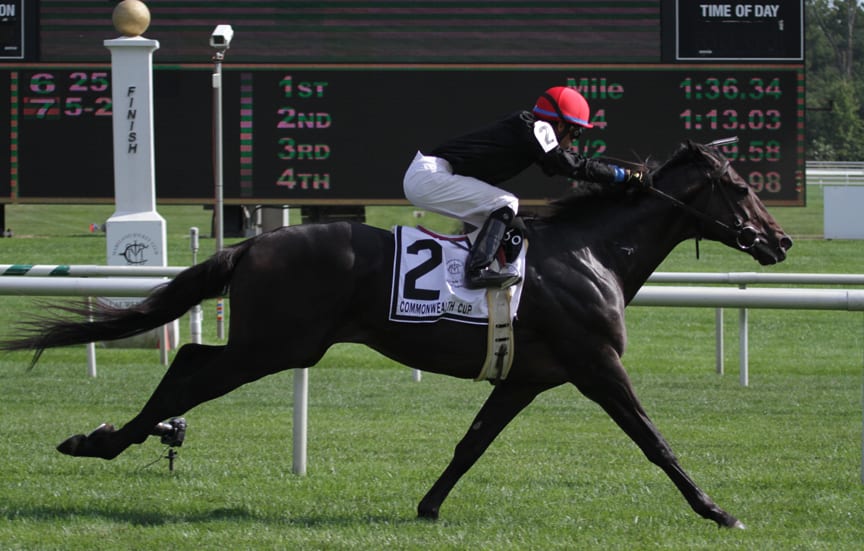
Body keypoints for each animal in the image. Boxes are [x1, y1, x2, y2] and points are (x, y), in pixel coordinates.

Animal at [3, 142, 792, 532]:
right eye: (740, 187)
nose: (780, 240)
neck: (589, 252)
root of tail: (255, 243)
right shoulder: (595, 363)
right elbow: (655, 440)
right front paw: (717, 510)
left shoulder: (528, 376)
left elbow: (472, 442)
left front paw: (428, 506)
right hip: (276, 345)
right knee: (194, 362)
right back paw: (105, 439)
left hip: (277, 344)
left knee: (191, 359)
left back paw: (112, 436)